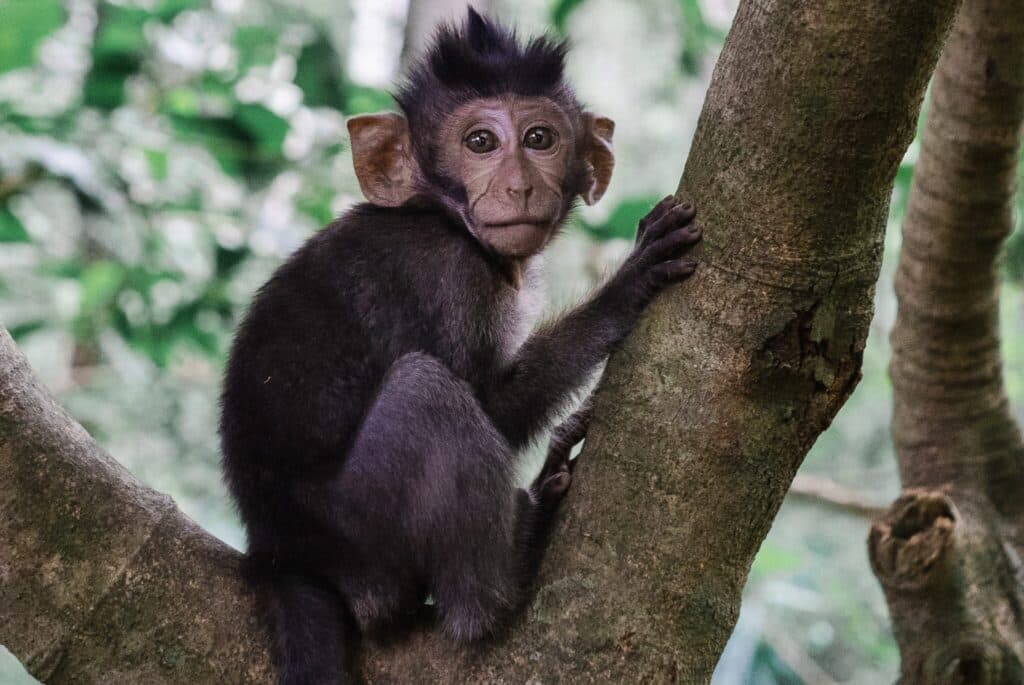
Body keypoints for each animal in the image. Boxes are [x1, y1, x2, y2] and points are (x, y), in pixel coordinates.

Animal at [219, 8, 700, 684]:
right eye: (480, 143)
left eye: (539, 138)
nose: (519, 186)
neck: (440, 215)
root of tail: (277, 553)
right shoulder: (447, 274)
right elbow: (493, 405)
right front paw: (627, 286)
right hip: (365, 539)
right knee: (424, 392)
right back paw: (509, 568)